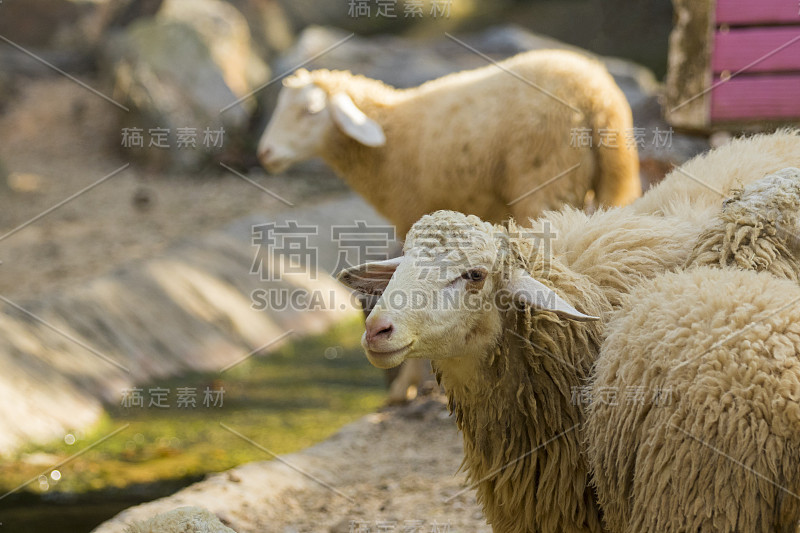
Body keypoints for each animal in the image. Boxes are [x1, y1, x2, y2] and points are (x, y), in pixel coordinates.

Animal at [260, 50, 640, 237]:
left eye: (310, 110)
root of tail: (597, 98)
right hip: (608, 183)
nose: (264, 152)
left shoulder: (411, 213)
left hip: (546, 180)